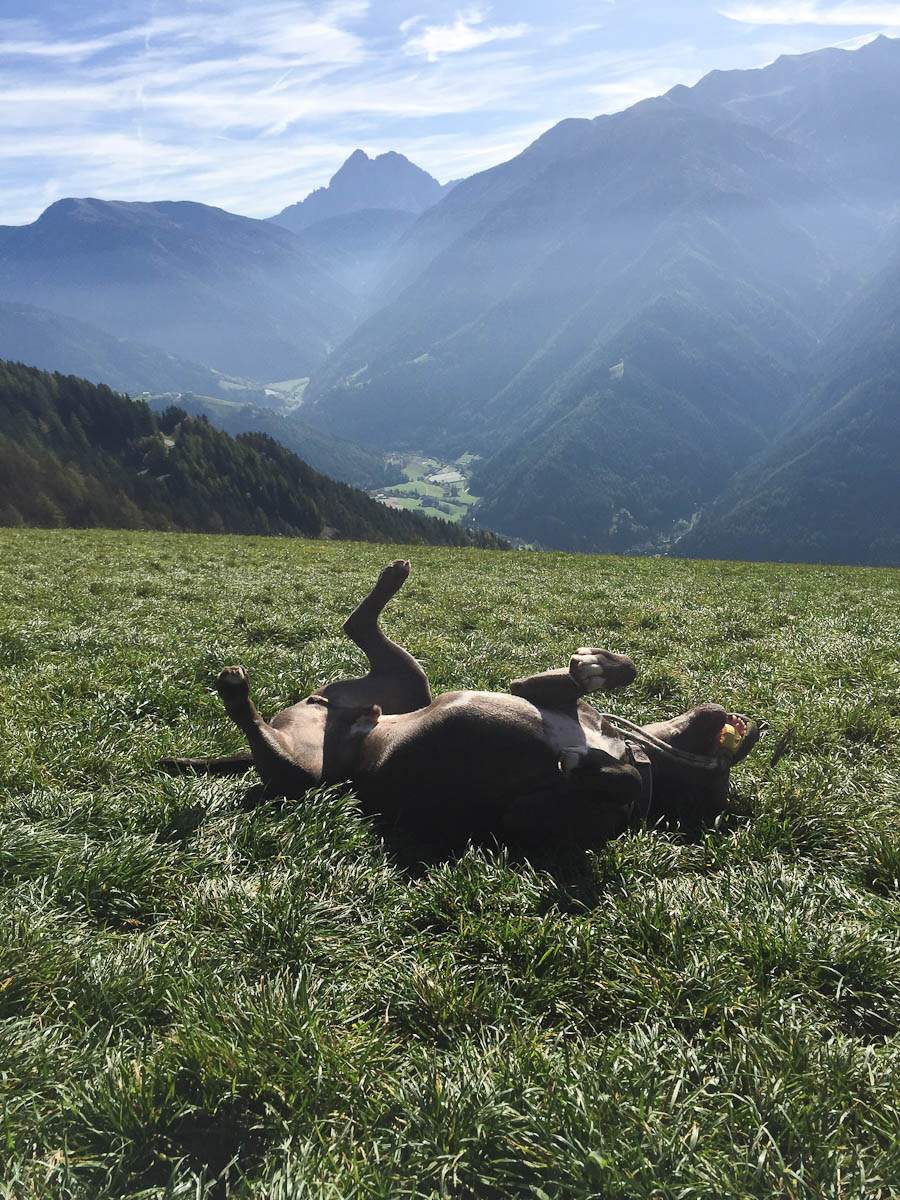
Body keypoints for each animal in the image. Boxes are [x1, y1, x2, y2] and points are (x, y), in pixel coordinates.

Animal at [161, 561, 759, 845]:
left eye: (717, 786)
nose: (747, 726)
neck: (630, 750)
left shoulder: (531, 818)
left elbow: (610, 784)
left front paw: (596, 767)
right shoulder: (535, 692)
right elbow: (600, 674)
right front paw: (598, 663)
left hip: (312, 775)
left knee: (277, 753)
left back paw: (237, 693)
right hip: (406, 685)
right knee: (357, 625)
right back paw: (391, 578)